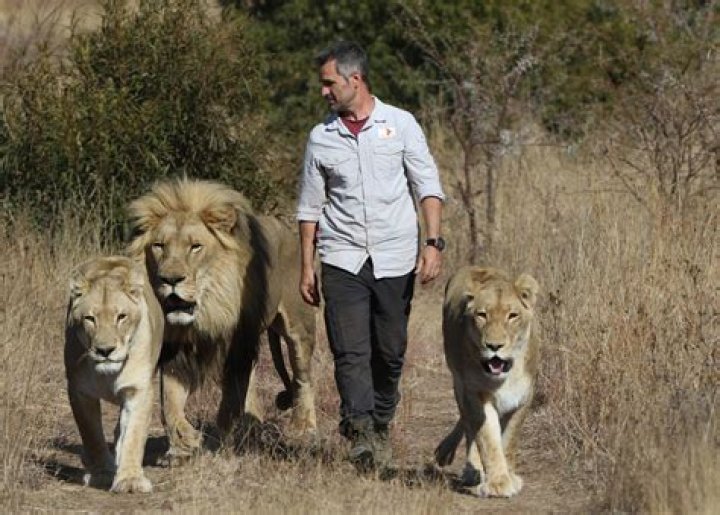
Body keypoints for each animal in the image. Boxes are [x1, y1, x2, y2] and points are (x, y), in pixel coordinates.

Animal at [64, 256, 164, 493]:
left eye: (121, 317)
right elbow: (91, 435)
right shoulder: (79, 390)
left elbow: (134, 435)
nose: (105, 350)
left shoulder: (139, 389)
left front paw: (130, 480)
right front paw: (102, 473)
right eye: (90, 318)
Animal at [126, 178, 316, 463]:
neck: (206, 313)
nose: (170, 279)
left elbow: (230, 400)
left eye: (195, 246)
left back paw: (304, 427)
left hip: (299, 328)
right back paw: (252, 425)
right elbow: (169, 402)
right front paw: (183, 444)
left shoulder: (237, 347)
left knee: (303, 378)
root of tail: (288, 231)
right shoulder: (174, 350)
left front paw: (219, 443)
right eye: (159, 246)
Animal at [434, 266, 539, 498]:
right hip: (459, 382)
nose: (494, 346)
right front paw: (498, 483)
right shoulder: (475, 392)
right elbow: (488, 438)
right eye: (482, 315)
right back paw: (466, 467)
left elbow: (509, 439)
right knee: (468, 423)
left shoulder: (523, 397)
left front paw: (510, 476)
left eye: (512, 316)